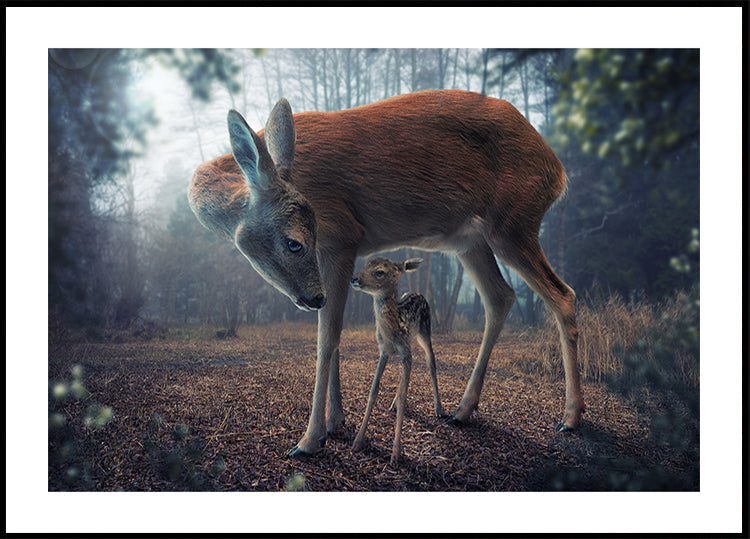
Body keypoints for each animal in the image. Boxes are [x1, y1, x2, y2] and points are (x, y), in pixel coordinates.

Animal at [350, 257, 444, 465]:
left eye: (379, 272)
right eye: (365, 264)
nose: (354, 278)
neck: (392, 331)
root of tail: (419, 293)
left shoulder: (405, 351)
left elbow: (404, 396)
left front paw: (395, 454)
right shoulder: (384, 351)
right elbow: (374, 390)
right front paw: (357, 442)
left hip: (425, 331)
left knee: (431, 362)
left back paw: (439, 409)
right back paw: (393, 404)